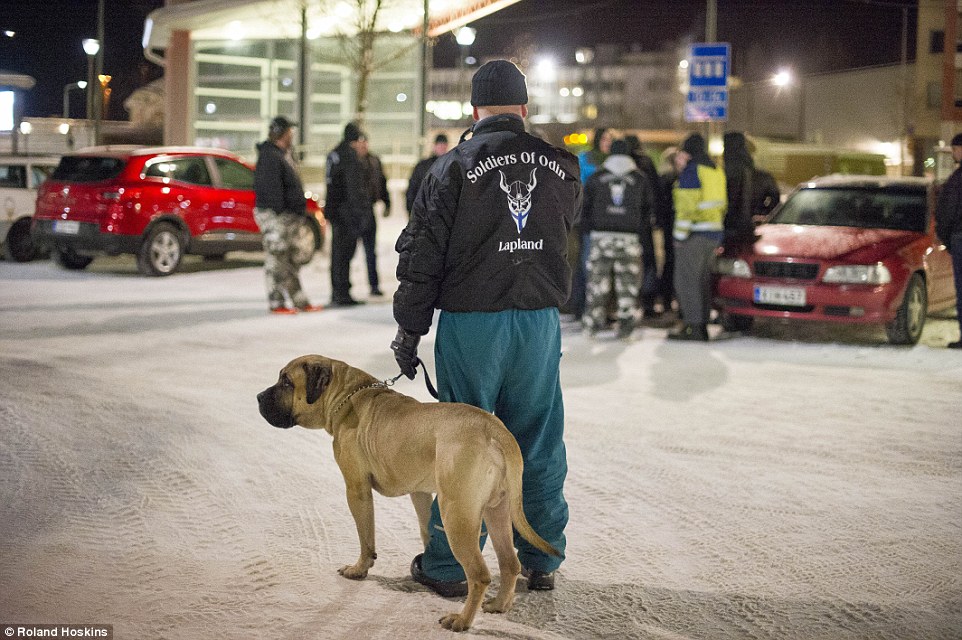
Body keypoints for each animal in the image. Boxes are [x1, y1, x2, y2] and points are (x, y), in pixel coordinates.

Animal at [256, 358, 556, 632]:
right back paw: (499, 604)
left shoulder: (356, 489)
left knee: (480, 575)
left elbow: (366, 537)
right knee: (510, 563)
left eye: (286, 382)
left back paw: (461, 621)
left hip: (456, 515)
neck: (346, 394)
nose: (258, 397)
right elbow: (425, 529)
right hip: (498, 511)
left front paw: (359, 569)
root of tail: (496, 431)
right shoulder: (419, 492)